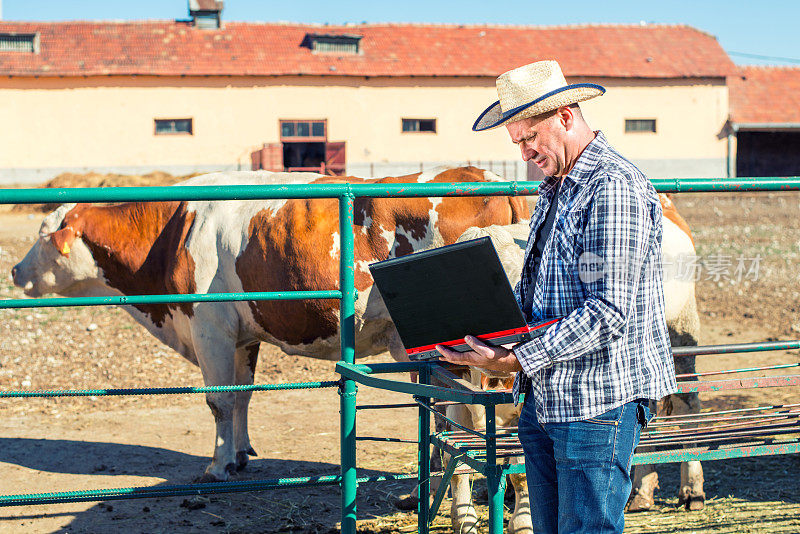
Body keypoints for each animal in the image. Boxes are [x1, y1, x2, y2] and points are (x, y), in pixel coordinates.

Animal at [12, 168, 528, 486]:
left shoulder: (210, 329)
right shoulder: (243, 336)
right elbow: (241, 396)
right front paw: (240, 454)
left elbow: (218, 401)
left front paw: (217, 466)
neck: (173, 230)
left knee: (461, 408)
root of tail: (484, 176)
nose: (15, 271)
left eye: (43, 236)